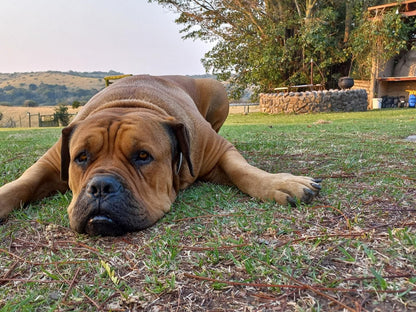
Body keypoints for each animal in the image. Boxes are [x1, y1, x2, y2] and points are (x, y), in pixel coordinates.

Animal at [0, 75, 322, 235]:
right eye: (81, 157)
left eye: (142, 156)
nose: (100, 186)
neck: (128, 103)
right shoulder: (51, 161)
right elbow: (24, 182)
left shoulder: (218, 149)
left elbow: (243, 171)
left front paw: (280, 183)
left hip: (218, 92)